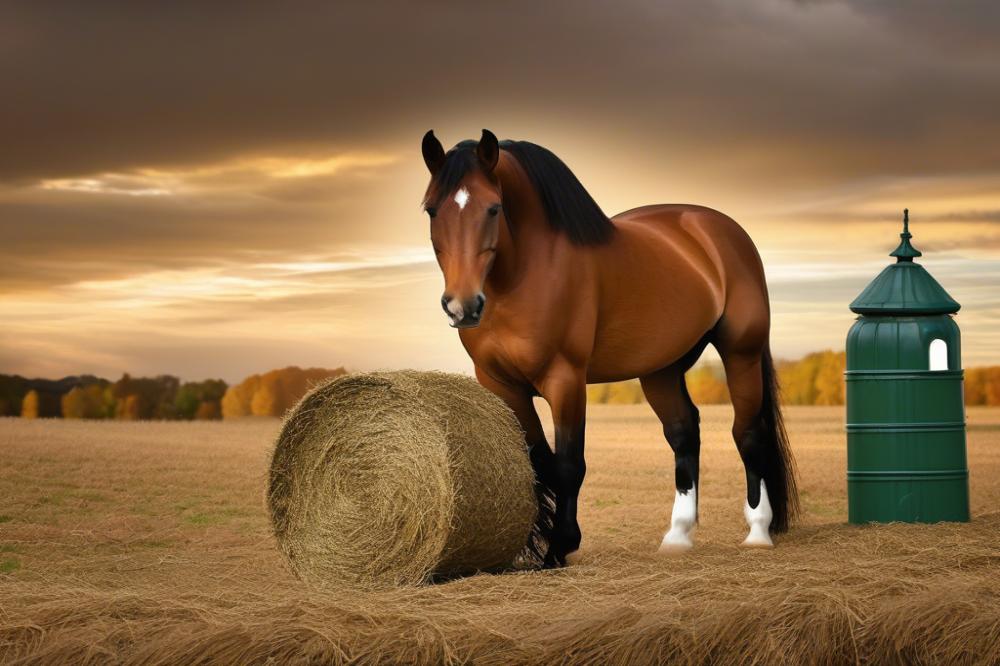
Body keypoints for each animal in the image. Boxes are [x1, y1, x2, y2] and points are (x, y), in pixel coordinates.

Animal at [418, 127, 792, 564]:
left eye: (494, 208)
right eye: (432, 210)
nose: (462, 306)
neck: (525, 274)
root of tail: (722, 229)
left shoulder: (565, 378)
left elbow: (568, 464)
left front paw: (559, 547)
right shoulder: (500, 384)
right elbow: (538, 461)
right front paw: (538, 541)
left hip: (741, 353)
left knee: (748, 432)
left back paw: (758, 530)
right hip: (660, 369)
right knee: (684, 433)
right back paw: (678, 535)